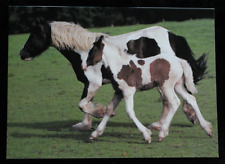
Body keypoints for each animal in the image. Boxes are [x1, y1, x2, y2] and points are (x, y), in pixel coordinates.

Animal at [19, 21, 207, 131]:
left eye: (35, 35)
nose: (22, 54)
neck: (83, 51)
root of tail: (172, 36)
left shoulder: (93, 83)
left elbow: (83, 104)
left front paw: (101, 113)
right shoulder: (88, 84)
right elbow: (86, 103)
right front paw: (85, 125)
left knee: (170, 100)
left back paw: (168, 123)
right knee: (174, 99)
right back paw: (170, 122)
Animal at [83, 35, 212, 143]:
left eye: (93, 50)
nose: (84, 66)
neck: (120, 66)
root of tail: (180, 60)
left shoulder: (128, 92)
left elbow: (130, 112)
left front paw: (147, 135)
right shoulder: (118, 92)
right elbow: (109, 110)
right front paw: (95, 134)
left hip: (166, 86)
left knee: (174, 102)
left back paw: (162, 133)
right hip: (178, 86)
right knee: (191, 99)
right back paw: (207, 129)